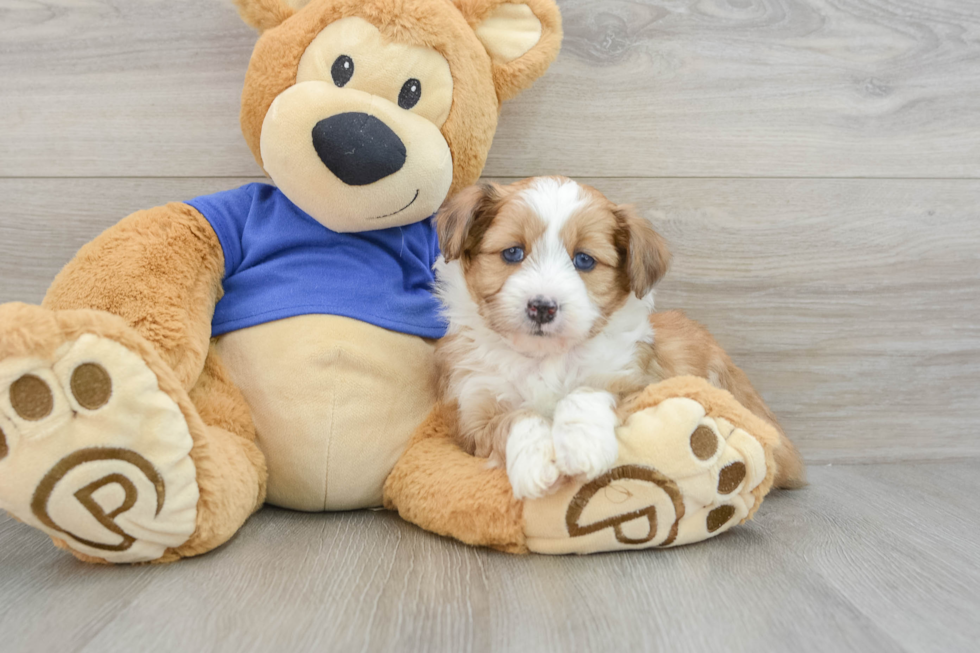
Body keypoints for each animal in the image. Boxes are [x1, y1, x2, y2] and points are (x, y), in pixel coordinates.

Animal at [434, 176, 804, 496]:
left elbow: (586, 391)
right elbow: (515, 418)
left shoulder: (640, 384)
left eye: (584, 260)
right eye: (513, 253)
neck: (546, 357)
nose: (542, 307)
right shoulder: (473, 418)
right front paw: (536, 462)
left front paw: (581, 445)